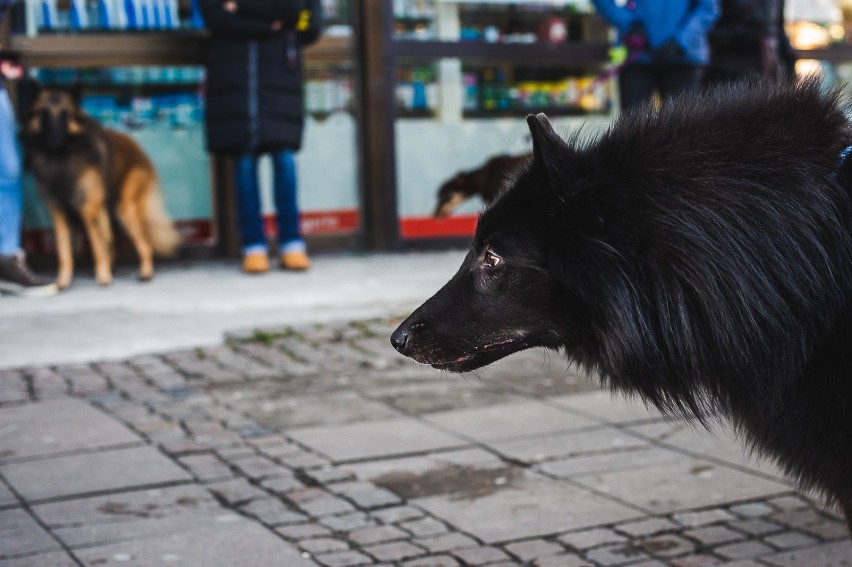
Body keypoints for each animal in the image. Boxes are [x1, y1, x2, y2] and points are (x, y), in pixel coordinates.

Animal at [21, 86, 180, 290]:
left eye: (65, 115)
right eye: (44, 114)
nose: (54, 138)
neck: (62, 156)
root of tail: (136, 145)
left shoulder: (89, 210)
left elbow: (97, 245)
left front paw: (103, 276)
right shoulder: (60, 214)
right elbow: (64, 250)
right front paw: (64, 280)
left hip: (124, 209)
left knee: (143, 243)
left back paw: (145, 272)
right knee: (112, 241)